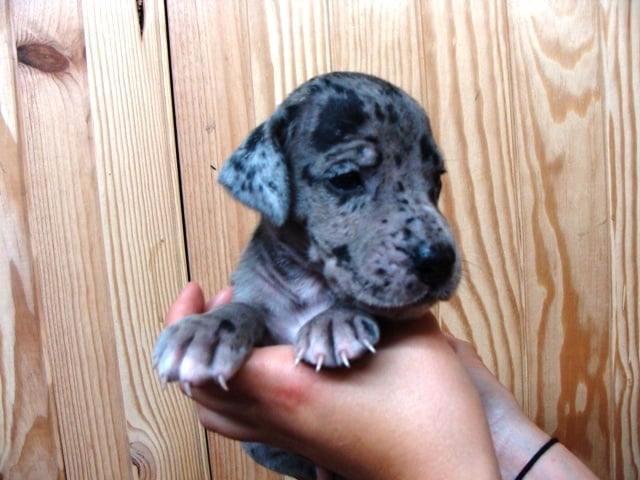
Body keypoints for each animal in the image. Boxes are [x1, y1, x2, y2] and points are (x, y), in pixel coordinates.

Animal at [153, 72, 461, 479]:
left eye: (435, 180)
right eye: (346, 178)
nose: (440, 261)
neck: (310, 284)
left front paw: (334, 323)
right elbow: (243, 309)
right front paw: (205, 330)